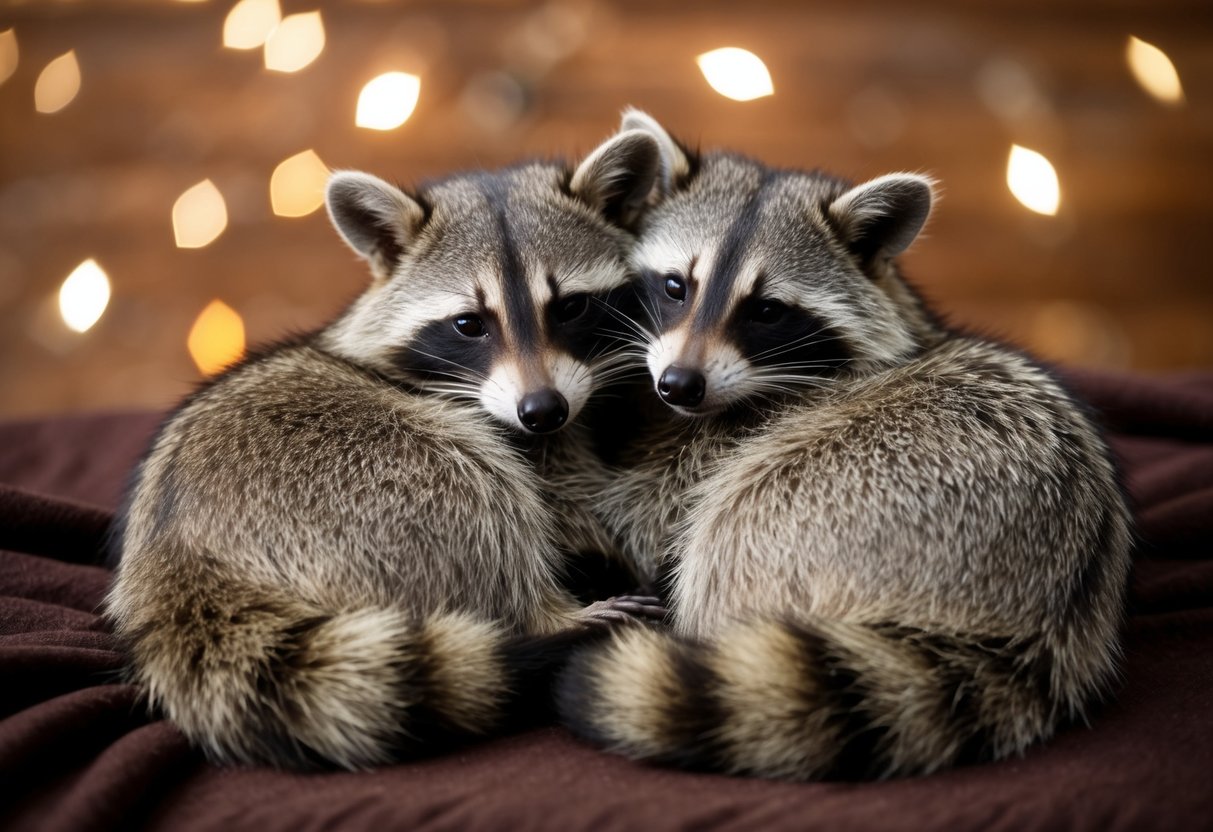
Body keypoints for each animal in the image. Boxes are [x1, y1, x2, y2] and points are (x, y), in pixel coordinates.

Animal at [105, 127, 667, 770]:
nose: (543, 409)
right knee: (482, 494)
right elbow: (571, 506)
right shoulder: (520, 447)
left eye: (572, 307)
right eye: (469, 324)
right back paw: (554, 614)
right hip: (369, 477)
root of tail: (182, 564)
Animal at [558, 111, 1133, 780]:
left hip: (839, 495)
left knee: (727, 536)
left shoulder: (726, 443)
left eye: (768, 310)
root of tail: (1040, 631)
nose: (679, 384)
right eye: (676, 286)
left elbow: (641, 526)